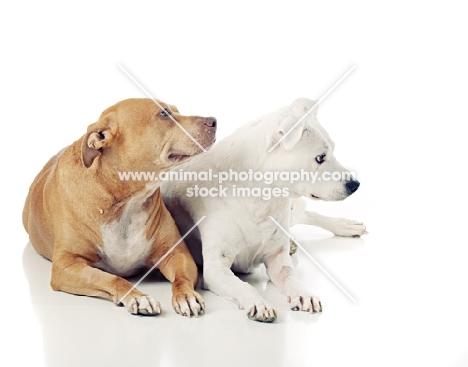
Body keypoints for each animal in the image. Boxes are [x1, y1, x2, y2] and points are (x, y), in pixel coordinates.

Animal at [22, 98, 217, 316]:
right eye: (164, 113)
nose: (213, 121)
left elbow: (181, 278)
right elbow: (110, 278)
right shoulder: (66, 265)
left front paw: (186, 295)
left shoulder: (177, 254)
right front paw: (138, 297)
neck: (125, 202)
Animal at [163, 98, 368, 322]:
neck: (262, 197)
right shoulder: (216, 269)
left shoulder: (278, 260)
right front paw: (259, 302)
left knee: (305, 213)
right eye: (320, 157)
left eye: (332, 150)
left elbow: (291, 278)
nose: (355, 185)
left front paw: (303, 294)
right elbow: (244, 286)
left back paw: (345, 226)